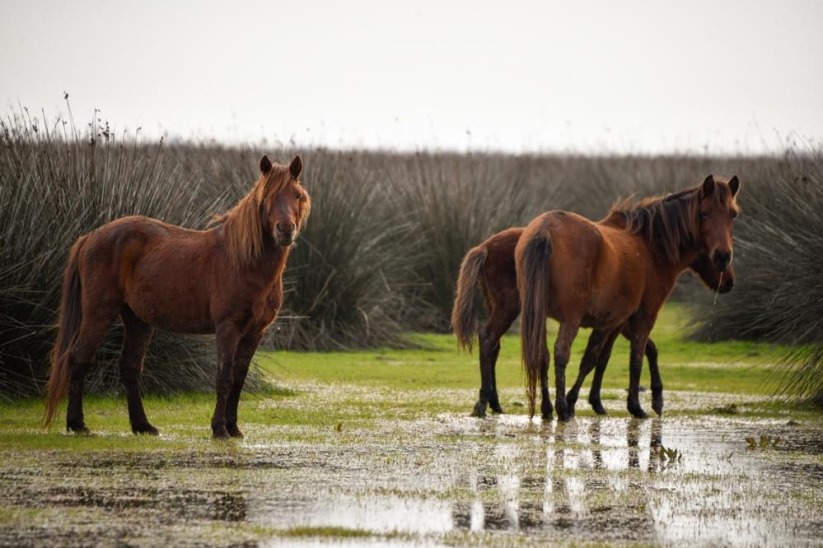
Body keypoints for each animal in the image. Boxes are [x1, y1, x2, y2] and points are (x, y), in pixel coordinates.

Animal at [44, 156, 312, 438]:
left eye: (297, 195)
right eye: (267, 196)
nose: (285, 230)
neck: (243, 262)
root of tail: (90, 237)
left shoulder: (254, 332)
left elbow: (239, 378)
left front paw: (233, 427)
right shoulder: (227, 328)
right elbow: (224, 377)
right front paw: (219, 428)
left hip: (137, 321)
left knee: (129, 368)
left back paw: (142, 425)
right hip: (99, 314)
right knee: (79, 359)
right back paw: (77, 424)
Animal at [454, 223, 736, 420]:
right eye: (713, 256)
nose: (729, 282)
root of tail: (485, 246)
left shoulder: (620, 323)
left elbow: (640, 350)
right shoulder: (620, 322)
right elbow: (603, 357)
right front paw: (595, 402)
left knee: (494, 346)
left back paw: (495, 402)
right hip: (508, 308)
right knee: (489, 340)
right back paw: (488, 402)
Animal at [516, 174, 740, 420]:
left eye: (733, 214)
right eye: (704, 212)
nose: (723, 258)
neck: (650, 246)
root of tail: (545, 229)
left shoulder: (615, 321)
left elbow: (605, 358)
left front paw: (596, 401)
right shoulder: (642, 317)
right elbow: (632, 358)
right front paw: (635, 405)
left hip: (539, 314)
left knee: (543, 355)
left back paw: (547, 408)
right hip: (570, 320)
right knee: (561, 352)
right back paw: (562, 409)